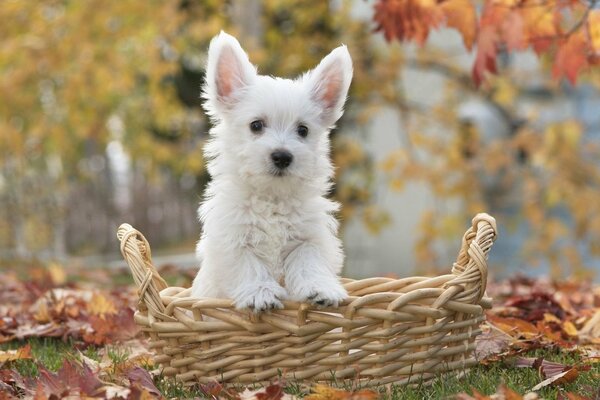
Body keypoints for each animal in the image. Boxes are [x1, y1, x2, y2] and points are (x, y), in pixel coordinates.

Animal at [191, 32, 352, 312]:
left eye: (303, 130)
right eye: (256, 125)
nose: (282, 156)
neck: (272, 197)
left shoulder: (309, 237)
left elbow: (308, 262)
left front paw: (321, 289)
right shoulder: (233, 239)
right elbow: (249, 266)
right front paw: (260, 293)